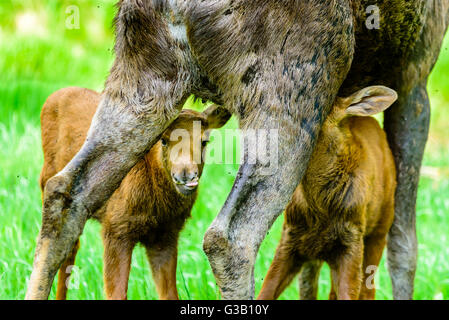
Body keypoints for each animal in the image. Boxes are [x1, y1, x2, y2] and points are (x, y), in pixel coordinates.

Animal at [39, 87, 229, 300]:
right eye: (163, 140)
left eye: (204, 141)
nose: (185, 175)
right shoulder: (115, 228)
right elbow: (116, 293)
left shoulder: (167, 234)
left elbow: (169, 294)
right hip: (48, 181)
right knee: (66, 247)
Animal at [258, 85, 398, 300]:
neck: (321, 210)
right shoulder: (289, 236)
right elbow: (265, 291)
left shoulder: (352, 239)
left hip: (380, 227)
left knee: (368, 290)